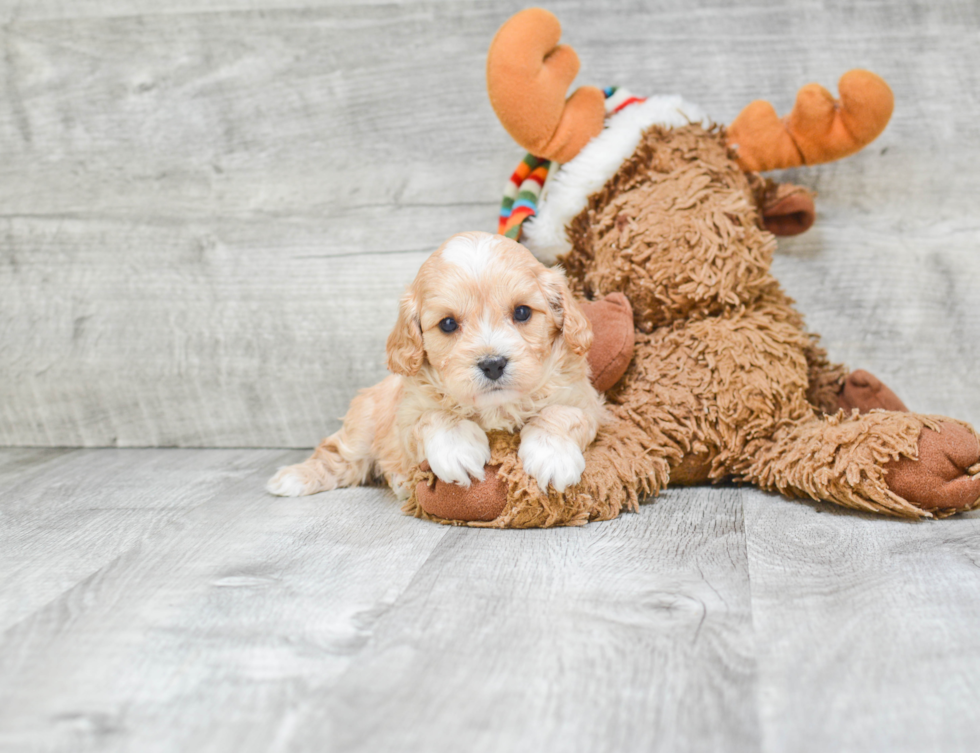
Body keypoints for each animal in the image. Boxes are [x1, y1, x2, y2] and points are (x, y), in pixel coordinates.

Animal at [268, 229, 604, 500]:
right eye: (448, 324)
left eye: (522, 312)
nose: (493, 364)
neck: (496, 408)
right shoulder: (406, 415)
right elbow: (434, 416)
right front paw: (457, 450)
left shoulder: (586, 403)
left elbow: (562, 414)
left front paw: (552, 455)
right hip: (363, 425)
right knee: (338, 454)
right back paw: (295, 477)